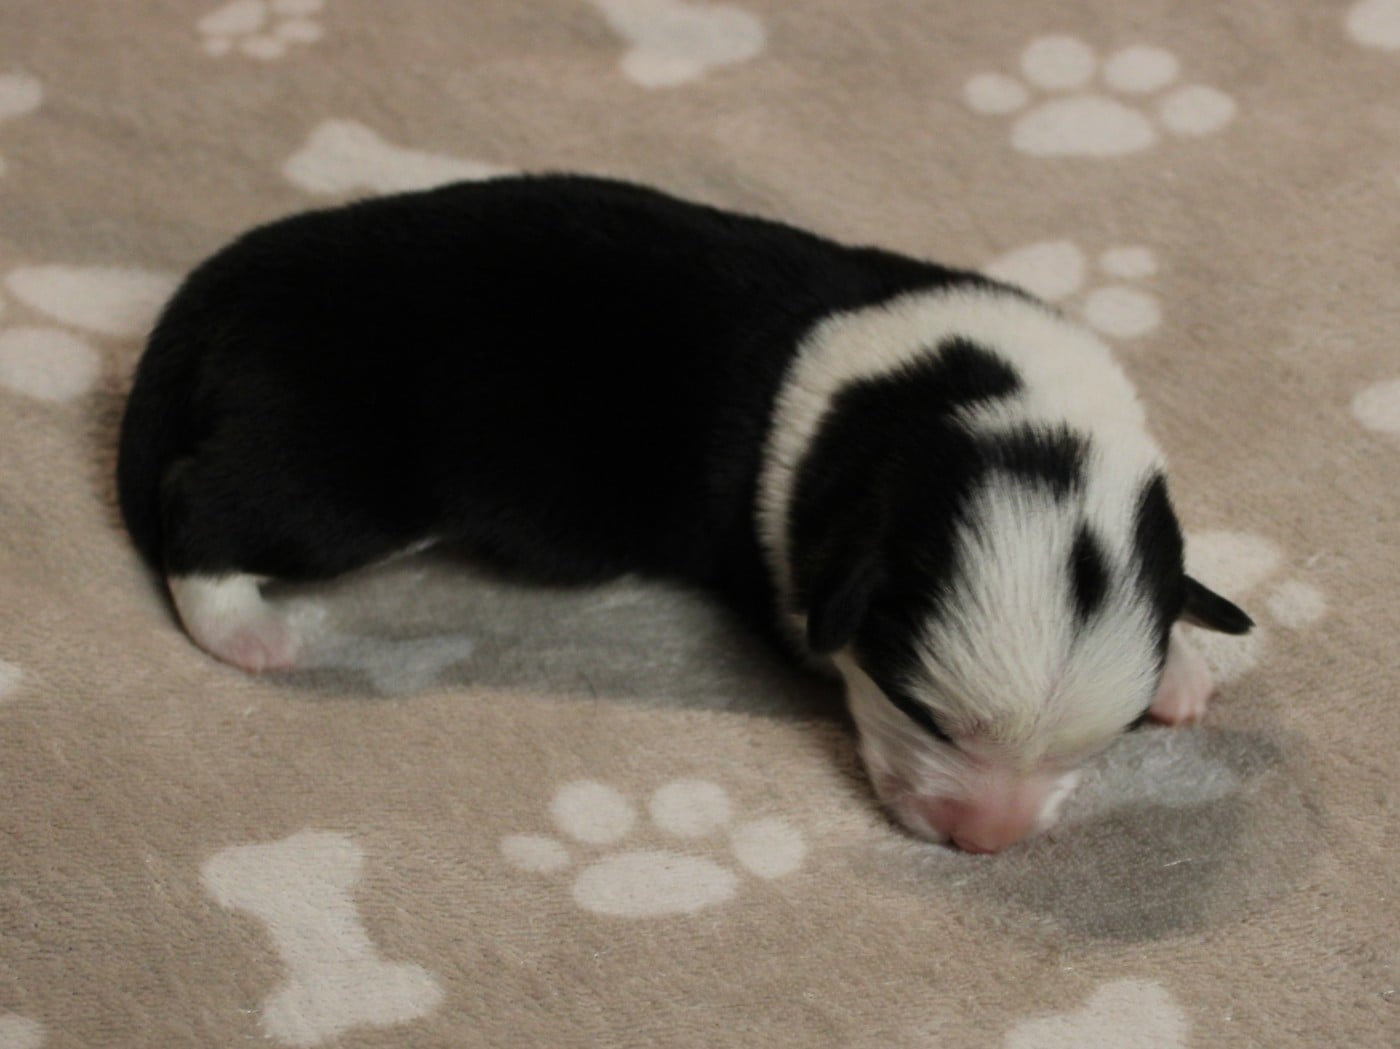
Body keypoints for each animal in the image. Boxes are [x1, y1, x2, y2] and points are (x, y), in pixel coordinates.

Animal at [117, 174, 1252, 852]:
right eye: (920, 709)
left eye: (1095, 742)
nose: (984, 840)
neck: (954, 393)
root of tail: (231, 282)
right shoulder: (800, 576)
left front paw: (1183, 664)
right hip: (339, 474)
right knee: (199, 503)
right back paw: (244, 629)